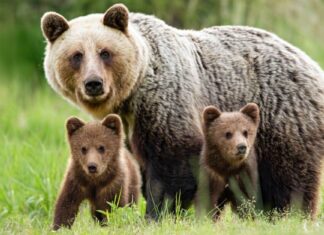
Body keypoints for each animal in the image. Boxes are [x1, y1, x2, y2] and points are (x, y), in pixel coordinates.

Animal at [41, 3, 324, 220]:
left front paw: (156, 214)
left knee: (289, 175)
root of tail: (310, 63)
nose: (94, 83)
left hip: (281, 115)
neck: (132, 94)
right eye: (76, 55)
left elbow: (173, 161)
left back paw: (289, 214)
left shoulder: (166, 102)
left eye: (105, 52)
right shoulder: (132, 124)